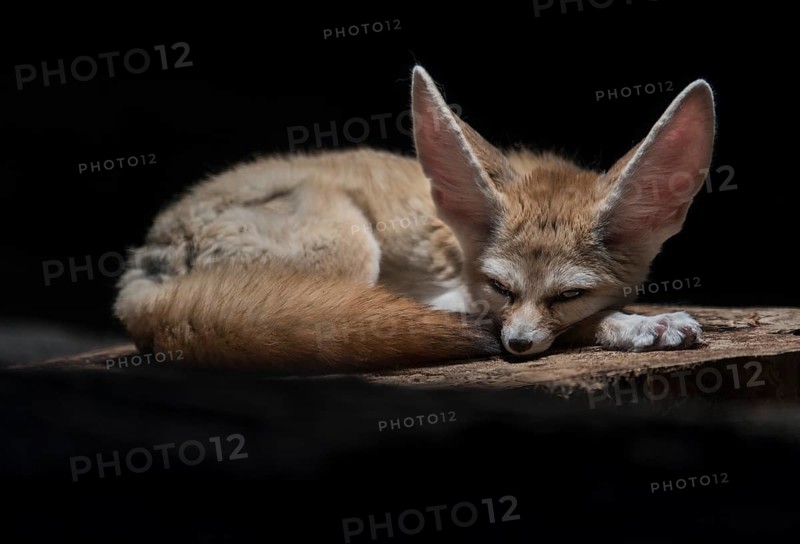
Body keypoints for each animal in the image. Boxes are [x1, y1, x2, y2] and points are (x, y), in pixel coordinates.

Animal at [113, 65, 715, 374]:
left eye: (568, 293)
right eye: (499, 286)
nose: (518, 346)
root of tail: (143, 269)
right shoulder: (463, 296)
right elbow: (572, 326)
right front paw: (637, 323)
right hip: (349, 248)